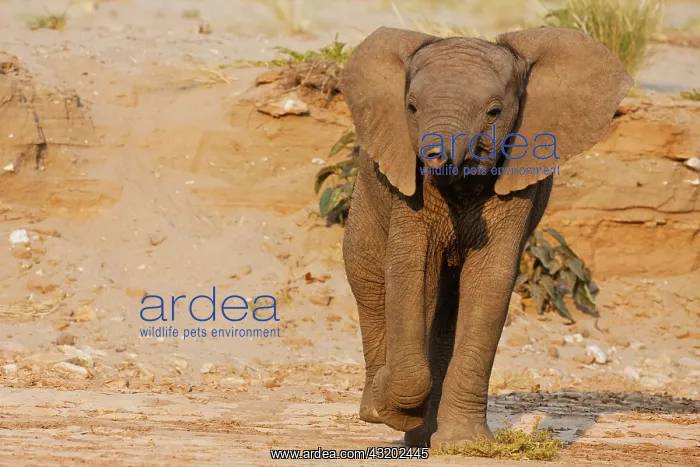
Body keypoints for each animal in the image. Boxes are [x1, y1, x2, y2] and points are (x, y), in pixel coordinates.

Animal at [339, 26, 633, 447]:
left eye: (494, 112)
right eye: (411, 108)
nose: (434, 157)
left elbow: (489, 280)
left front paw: (465, 444)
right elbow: (412, 269)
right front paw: (388, 408)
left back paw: (423, 434)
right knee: (372, 283)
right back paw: (399, 423)